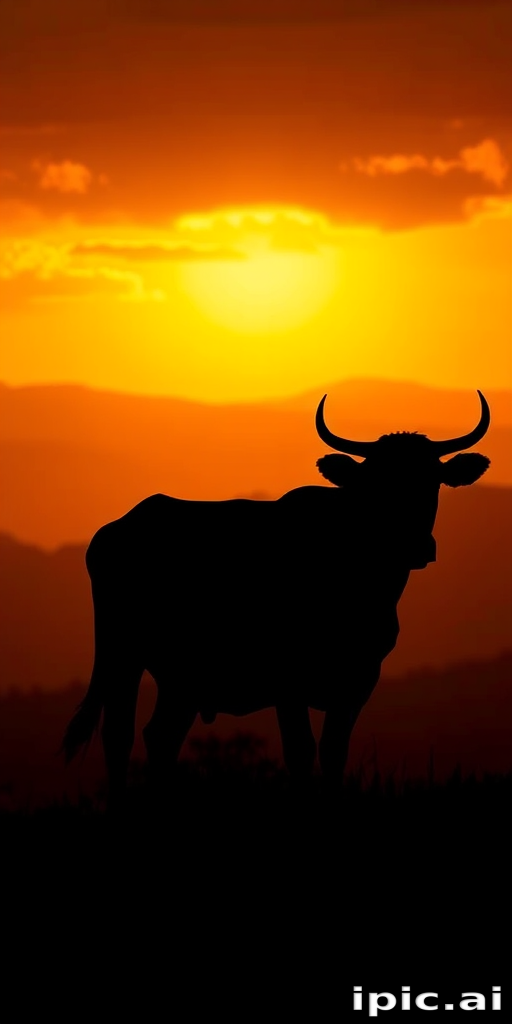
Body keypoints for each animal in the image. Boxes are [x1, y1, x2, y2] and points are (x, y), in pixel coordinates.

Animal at [62, 390, 490, 807]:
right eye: (376, 484)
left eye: (433, 480)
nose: (417, 545)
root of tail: (116, 529)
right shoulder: (288, 681)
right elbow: (300, 751)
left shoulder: (359, 680)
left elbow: (334, 752)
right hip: (122, 654)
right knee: (119, 735)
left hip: (181, 676)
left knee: (160, 736)